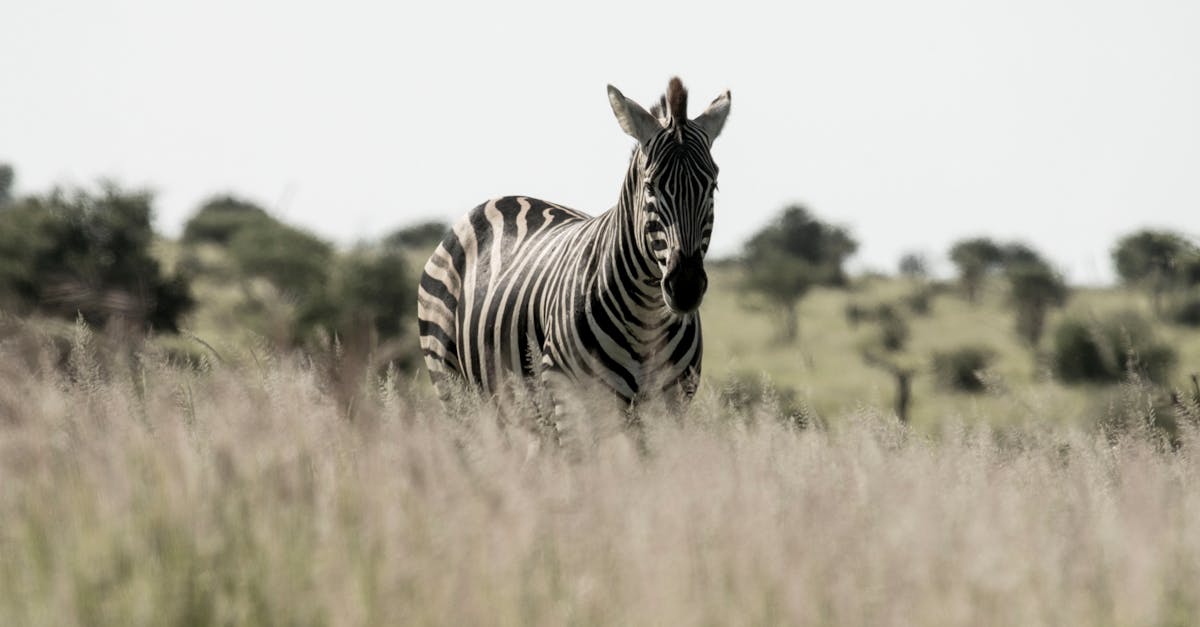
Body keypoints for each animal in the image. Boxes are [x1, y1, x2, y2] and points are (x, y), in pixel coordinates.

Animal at [417, 76, 730, 425]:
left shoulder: (670, 407)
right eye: (651, 186)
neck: (647, 319)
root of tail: (501, 200)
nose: (686, 287)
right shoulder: (572, 405)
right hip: (453, 386)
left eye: (712, 186)